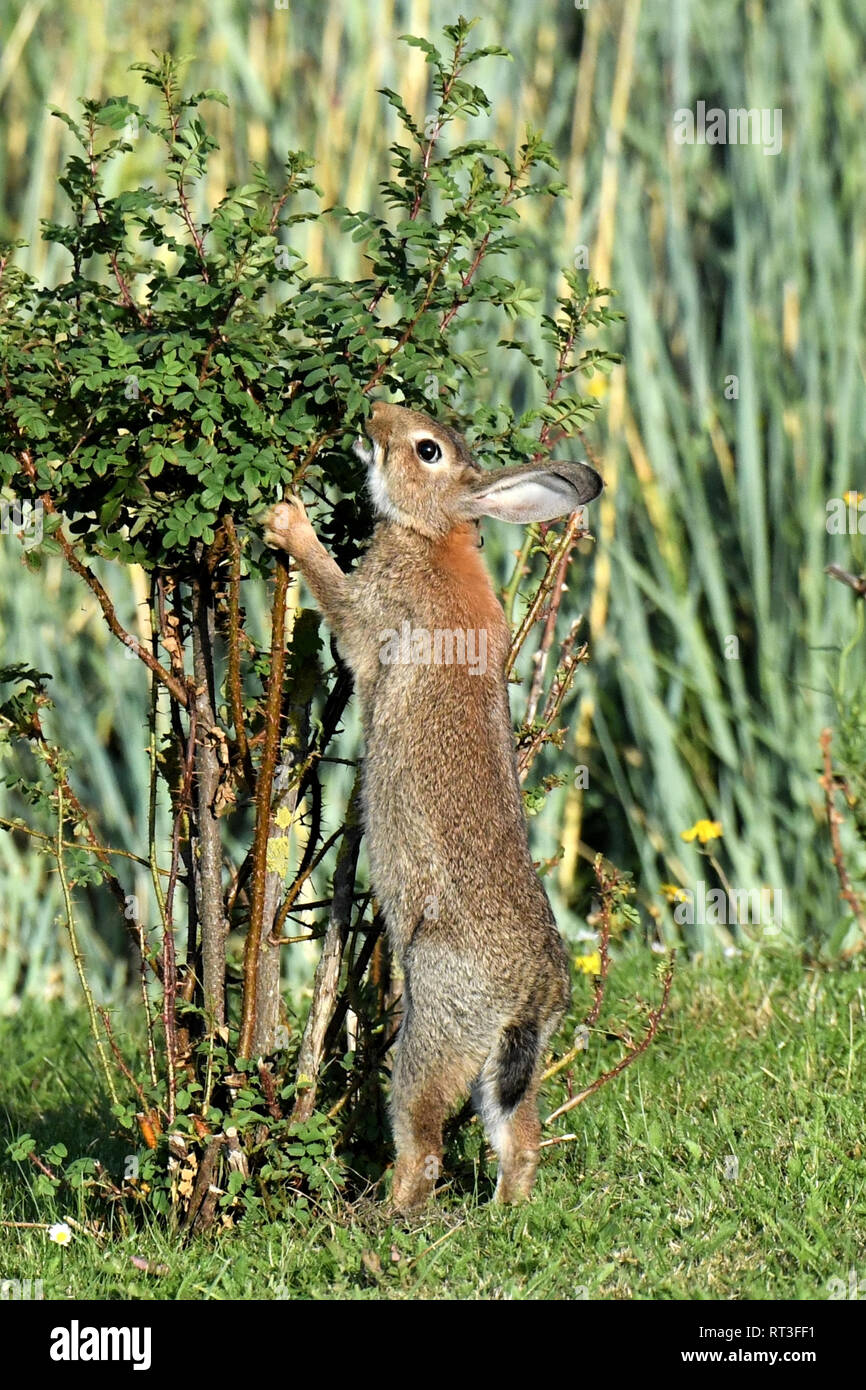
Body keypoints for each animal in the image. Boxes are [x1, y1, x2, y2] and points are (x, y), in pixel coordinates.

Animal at [263, 400, 603, 1213]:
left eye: (425, 451)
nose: (372, 414)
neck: (435, 529)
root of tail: (532, 991)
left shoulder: (373, 614)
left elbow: (340, 603)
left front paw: (288, 526)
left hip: (433, 1029)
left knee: (421, 1143)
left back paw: (386, 1215)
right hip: (508, 1064)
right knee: (519, 1134)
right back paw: (507, 1211)